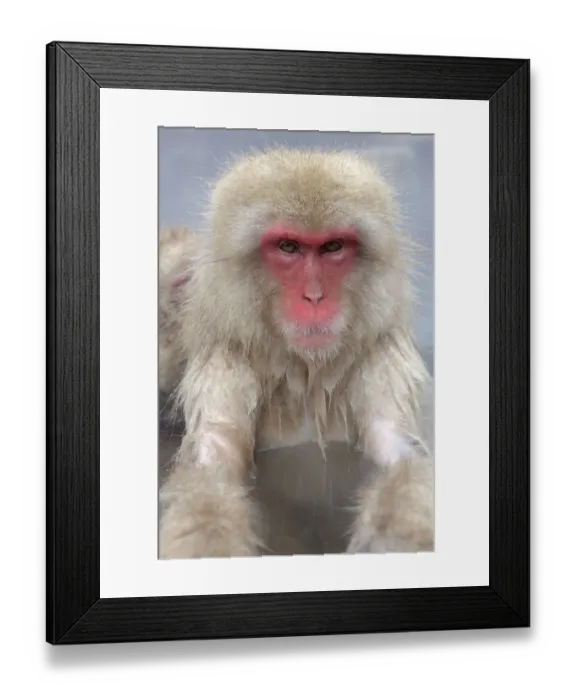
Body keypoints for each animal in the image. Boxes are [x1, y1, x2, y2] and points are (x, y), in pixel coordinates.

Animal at [158, 147, 434, 559]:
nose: (314, 297)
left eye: (333, 247)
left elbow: (398, 453)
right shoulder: (225, 361)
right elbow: (214, 466)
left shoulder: (382, 355)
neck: (305, 370)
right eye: (288, 247)